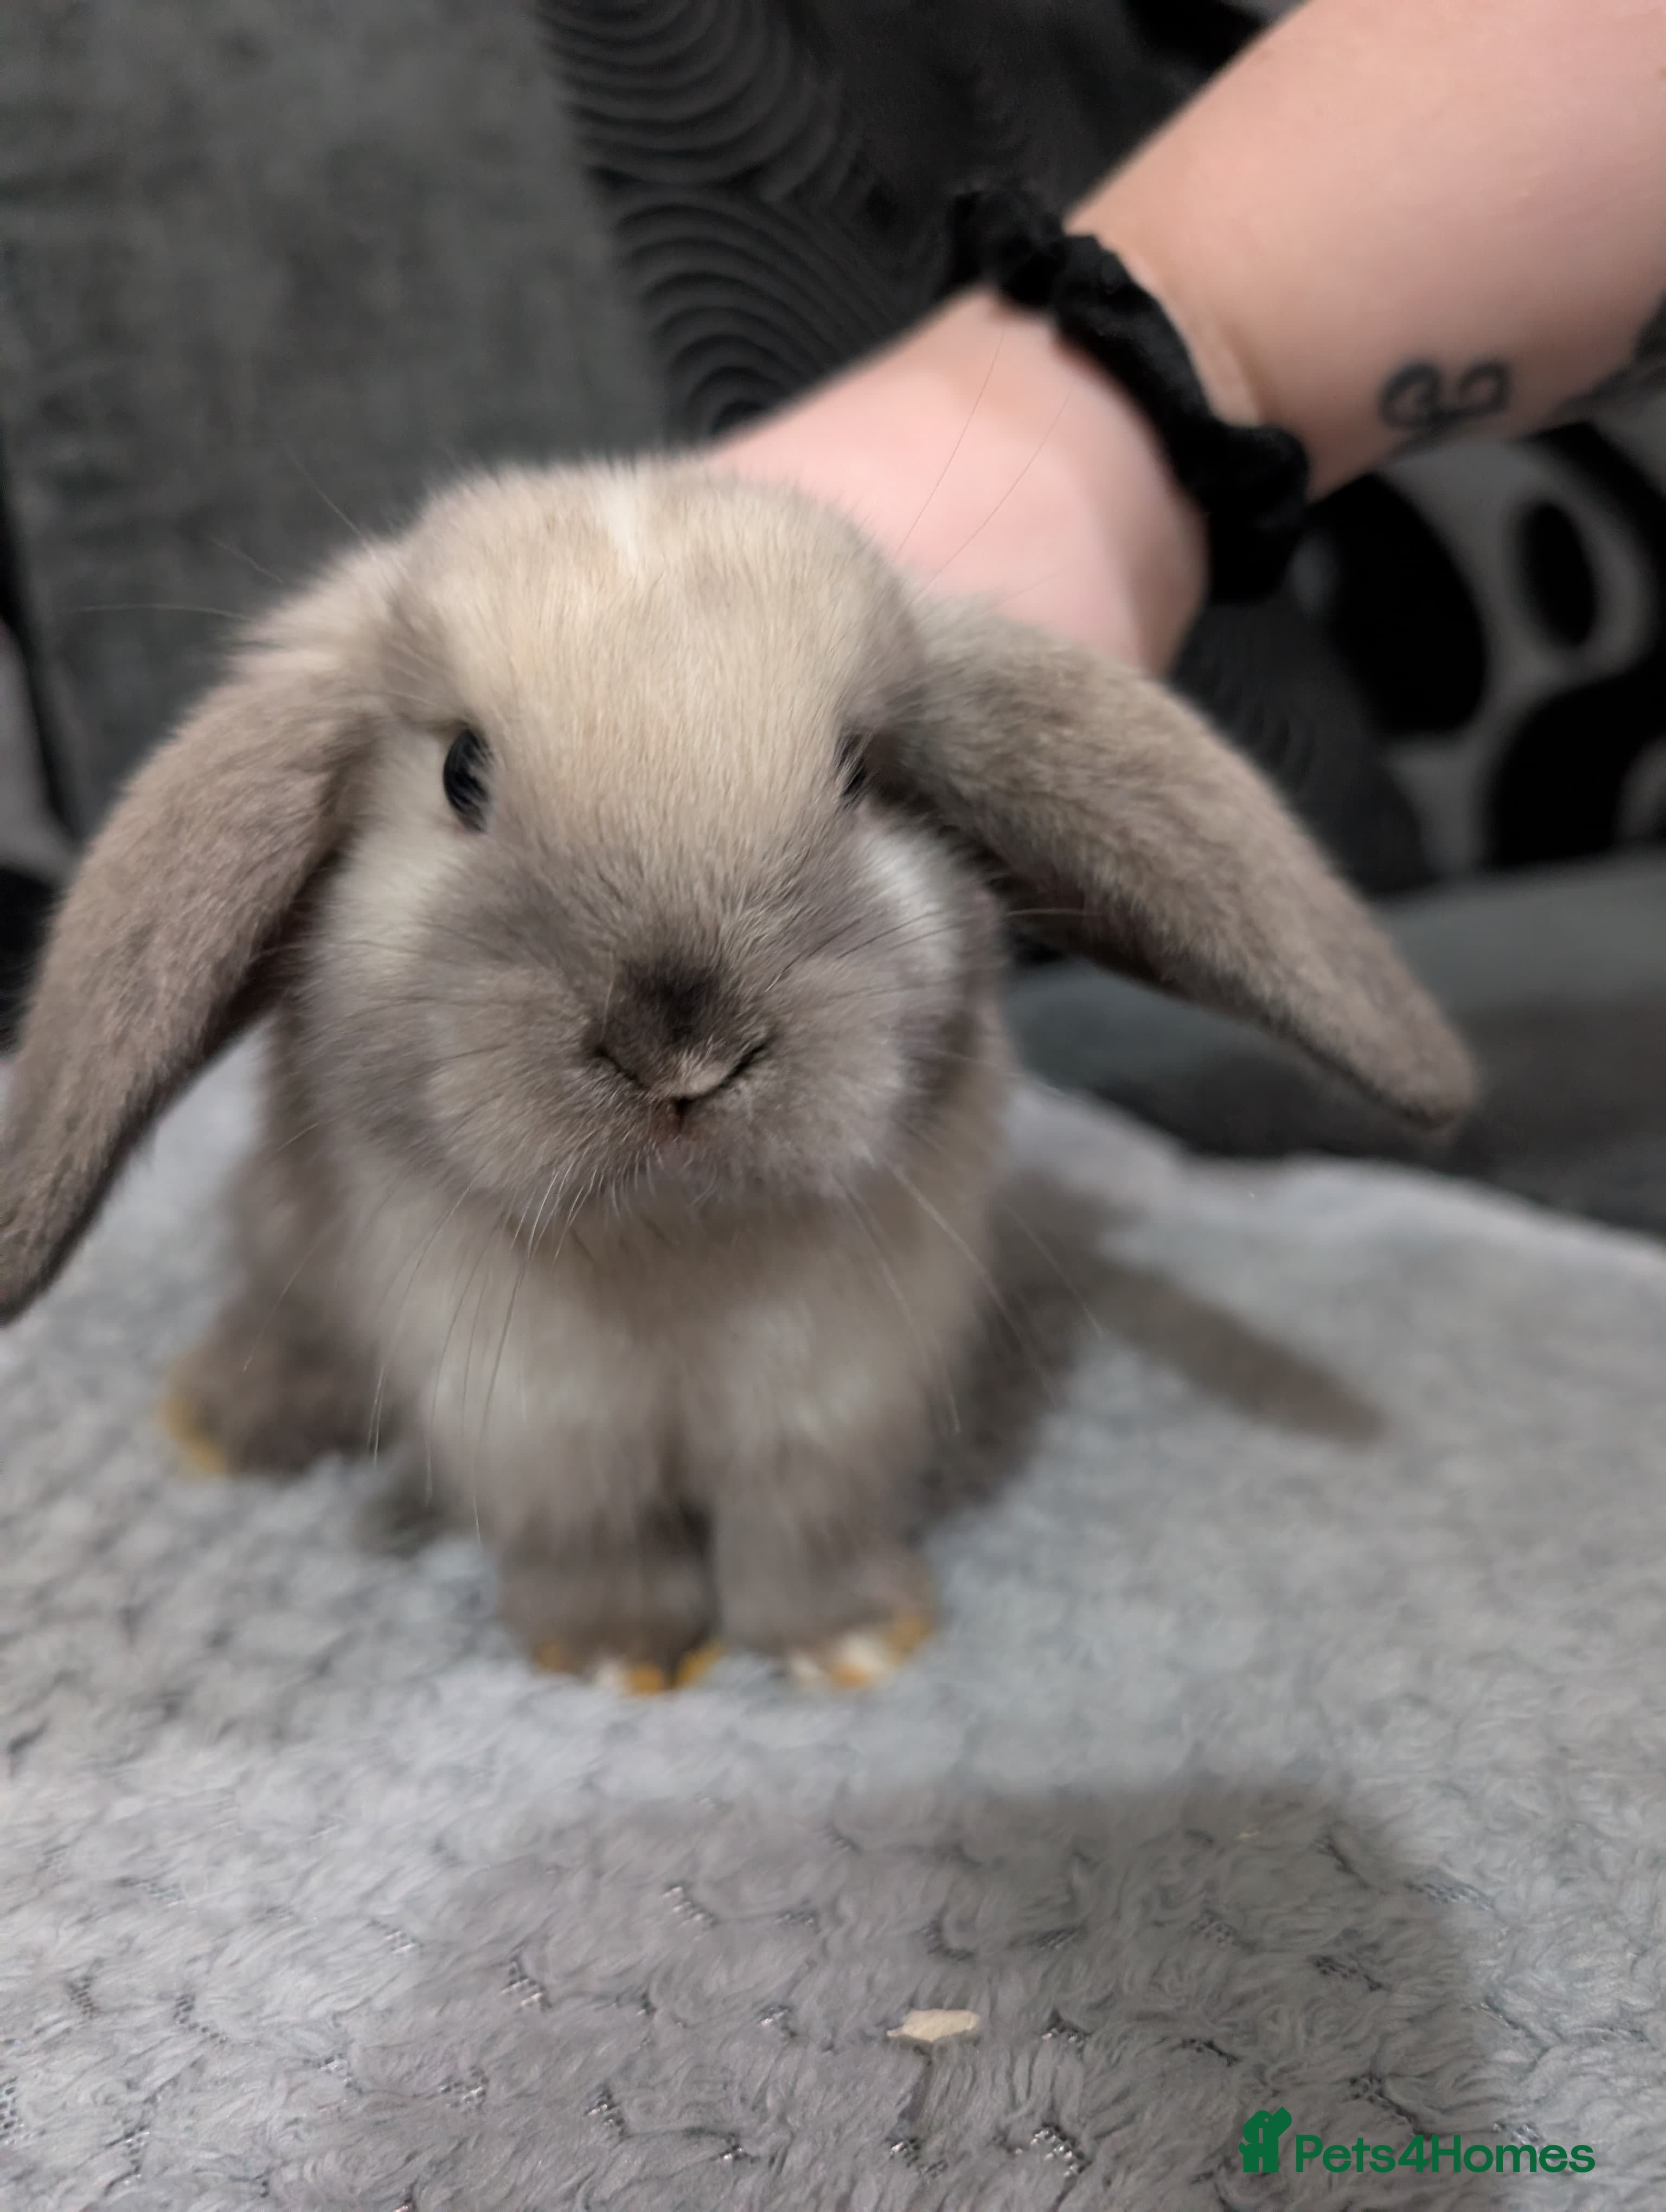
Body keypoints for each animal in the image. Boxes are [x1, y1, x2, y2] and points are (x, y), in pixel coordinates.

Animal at [0, 461, 1475, 1690]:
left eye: (862, 771)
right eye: (461, 773)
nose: (682, 1048)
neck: (675, 1239)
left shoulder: (832, 1401)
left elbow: (795, 1528)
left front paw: (851, 1644)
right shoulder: (532, 1419)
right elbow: (589, 1534)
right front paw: (612, 1657)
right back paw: (227, 1420)